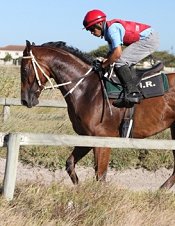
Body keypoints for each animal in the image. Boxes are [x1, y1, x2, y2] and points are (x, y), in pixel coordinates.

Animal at [21, 40, 175, 189]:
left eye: (25, 69)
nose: (25, 100)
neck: (86, 88)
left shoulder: (102, 139)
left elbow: (100, 176)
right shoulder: (87, 137)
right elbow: (70, 163)